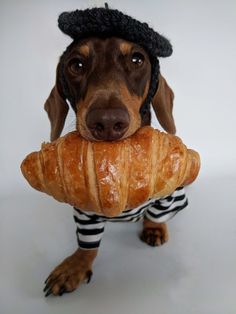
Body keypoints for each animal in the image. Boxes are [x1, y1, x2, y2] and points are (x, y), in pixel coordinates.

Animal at [42, 36, 175, 296]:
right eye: (76, 64)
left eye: (137, 59)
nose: (108, 122)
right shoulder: (86, 212)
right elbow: (88, 245)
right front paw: (75, 266)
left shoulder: (169, 195)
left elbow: (157, 214)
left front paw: (154, 227)